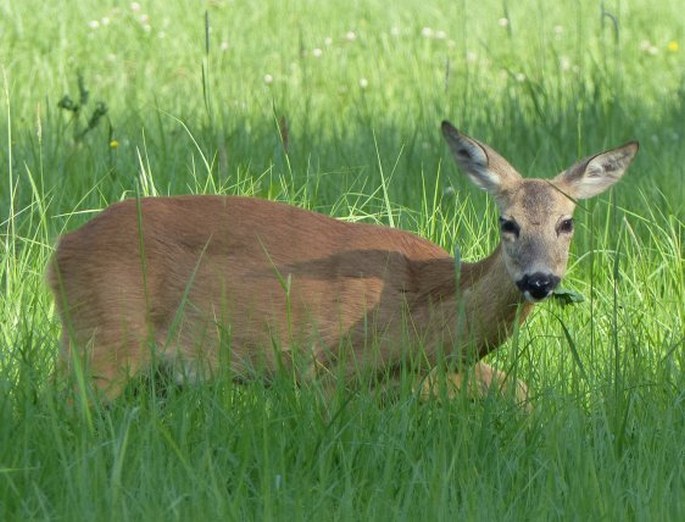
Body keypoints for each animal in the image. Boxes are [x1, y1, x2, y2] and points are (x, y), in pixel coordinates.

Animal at [46, 121, 636, 402]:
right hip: (106, 340)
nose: (540, 279)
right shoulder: (326, 371)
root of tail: (61, 251)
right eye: (506, 222)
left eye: (567, 222)